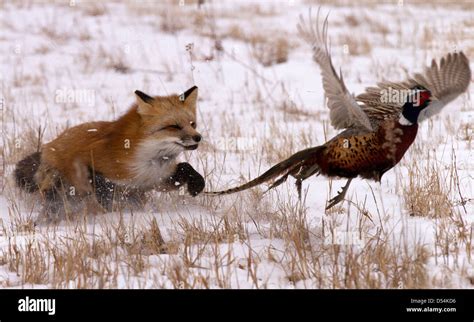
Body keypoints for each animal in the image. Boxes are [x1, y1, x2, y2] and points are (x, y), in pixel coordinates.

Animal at [14, 87, 204, 220]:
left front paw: (197, 184)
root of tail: (47, 147)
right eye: (174, 126)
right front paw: (114, 212)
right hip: (59, 185)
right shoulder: (92, 165)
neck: (148, 160)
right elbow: (105, 192)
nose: (198, 137)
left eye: (192, 124)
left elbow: (185, 168)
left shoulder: (154, 180)